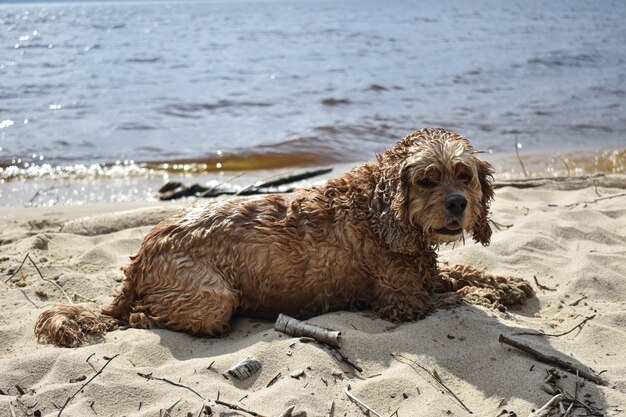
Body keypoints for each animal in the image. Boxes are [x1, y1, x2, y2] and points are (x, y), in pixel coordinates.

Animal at [34, 127, 532, 348]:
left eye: (464, 175)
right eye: (428, 180)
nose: (458, 205)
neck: (378, 208)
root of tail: (140, 255)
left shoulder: (423, 271)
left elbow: (464, 271)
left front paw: (507, 282)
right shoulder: (401, 301)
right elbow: (457, 294)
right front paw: (491, 295)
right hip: (212, 299)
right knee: (144, 316)